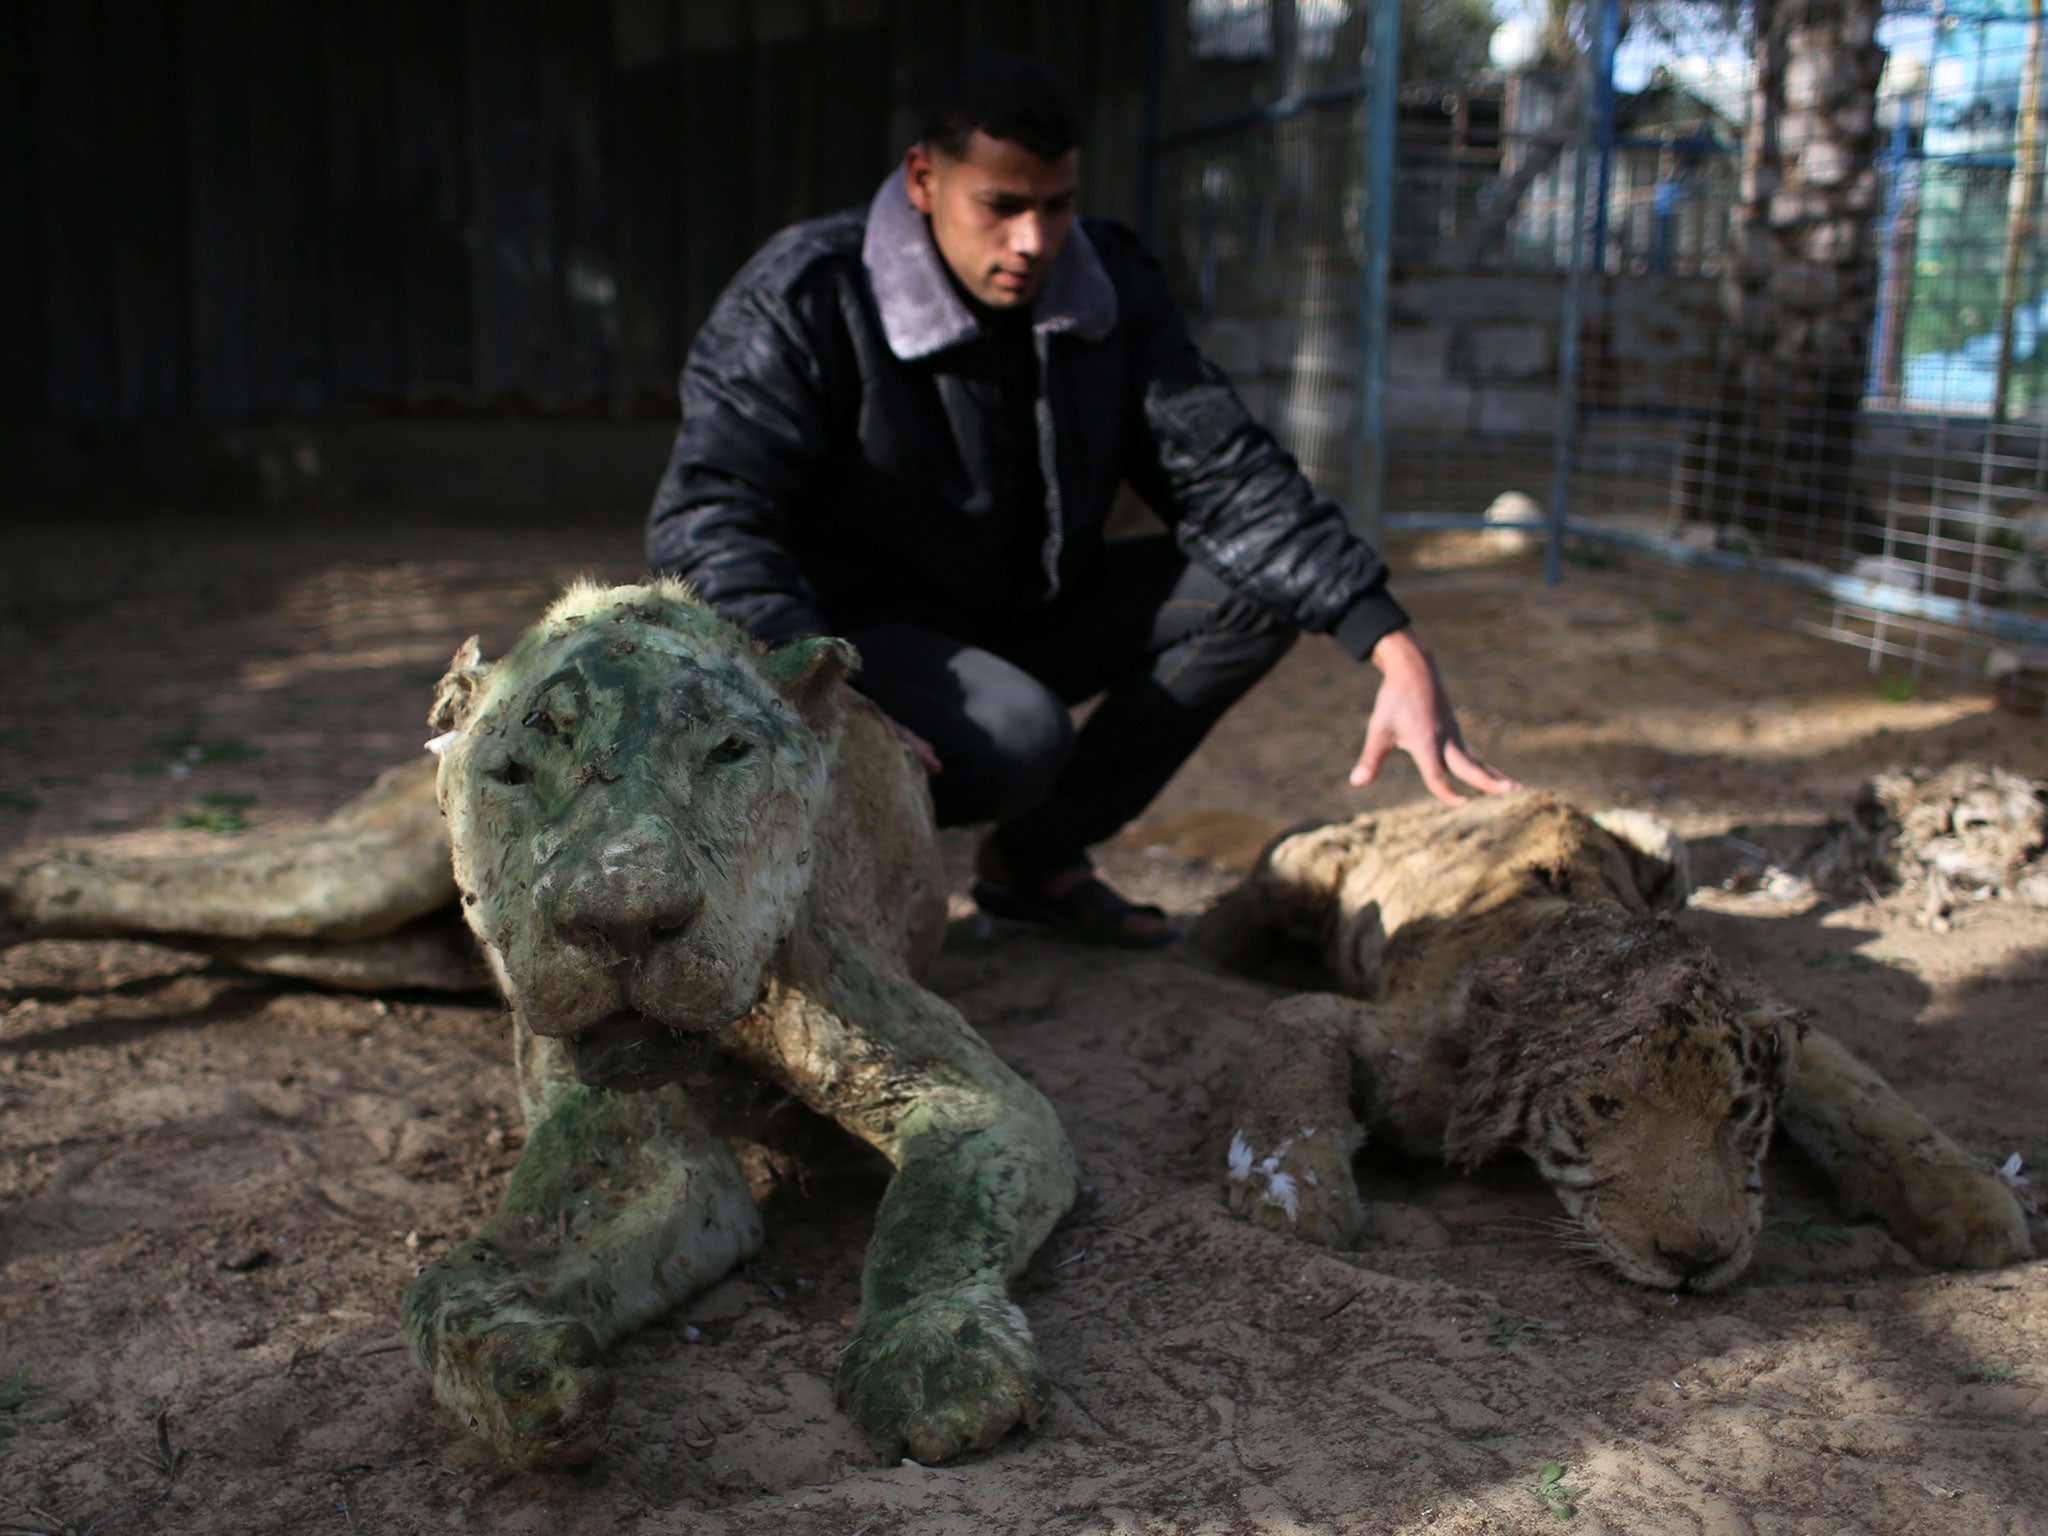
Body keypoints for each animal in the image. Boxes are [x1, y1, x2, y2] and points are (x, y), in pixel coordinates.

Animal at [0, 581, 1081, 1474]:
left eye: (728, 752)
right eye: (515, 769)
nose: (624, 922)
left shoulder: (965, 1096)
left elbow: (930, 1223)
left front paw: (935, 1362)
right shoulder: (633, 1155)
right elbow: (437, 1285)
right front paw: (525, 1376)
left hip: (373, 945)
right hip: (346, 885)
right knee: (162, 878)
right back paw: (25, 894)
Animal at [1196, 798, 2031, 1294]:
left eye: (1739, 1114)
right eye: (1602, 1106)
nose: (1696, 1261)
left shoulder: (1783, 1025)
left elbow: (1869, 1099)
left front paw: (1976, 1203)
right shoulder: (1378, 1047)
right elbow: (1291, 1057)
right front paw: (1298, 1201)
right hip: (1303, 869)